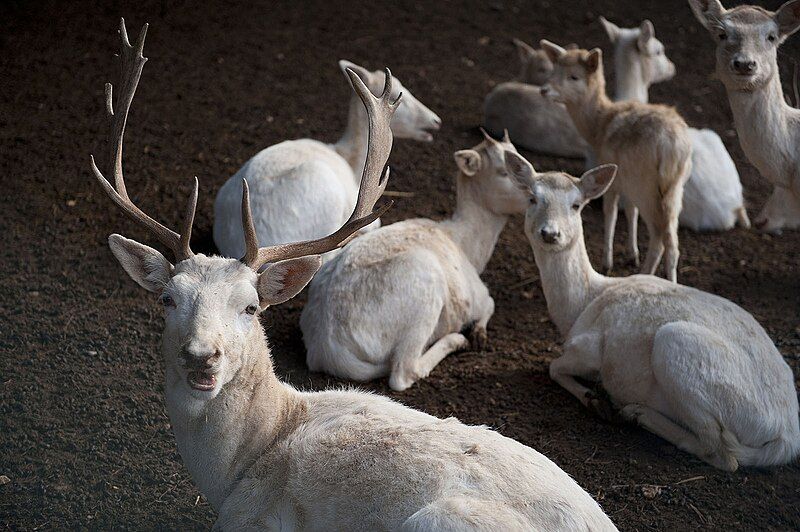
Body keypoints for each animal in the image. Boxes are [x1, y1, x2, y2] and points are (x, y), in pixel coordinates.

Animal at [300, 131, 532, 390]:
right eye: (504, 171)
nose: (533, 193)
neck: (470, 249)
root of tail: (327, 347)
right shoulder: (477, 296)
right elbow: (491, 303)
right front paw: (478, 335)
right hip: (425, 291)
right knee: (403, 372)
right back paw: (456, 340)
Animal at [506, 152, 800, 472]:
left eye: (576, 204)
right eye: (532, 198)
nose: (550, 233)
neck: (578, 308)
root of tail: (785, 439)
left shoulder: (590, 349)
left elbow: (554, 366)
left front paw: (595, 399)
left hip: (677, 347)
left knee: (722, 452)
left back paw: (637, 413)